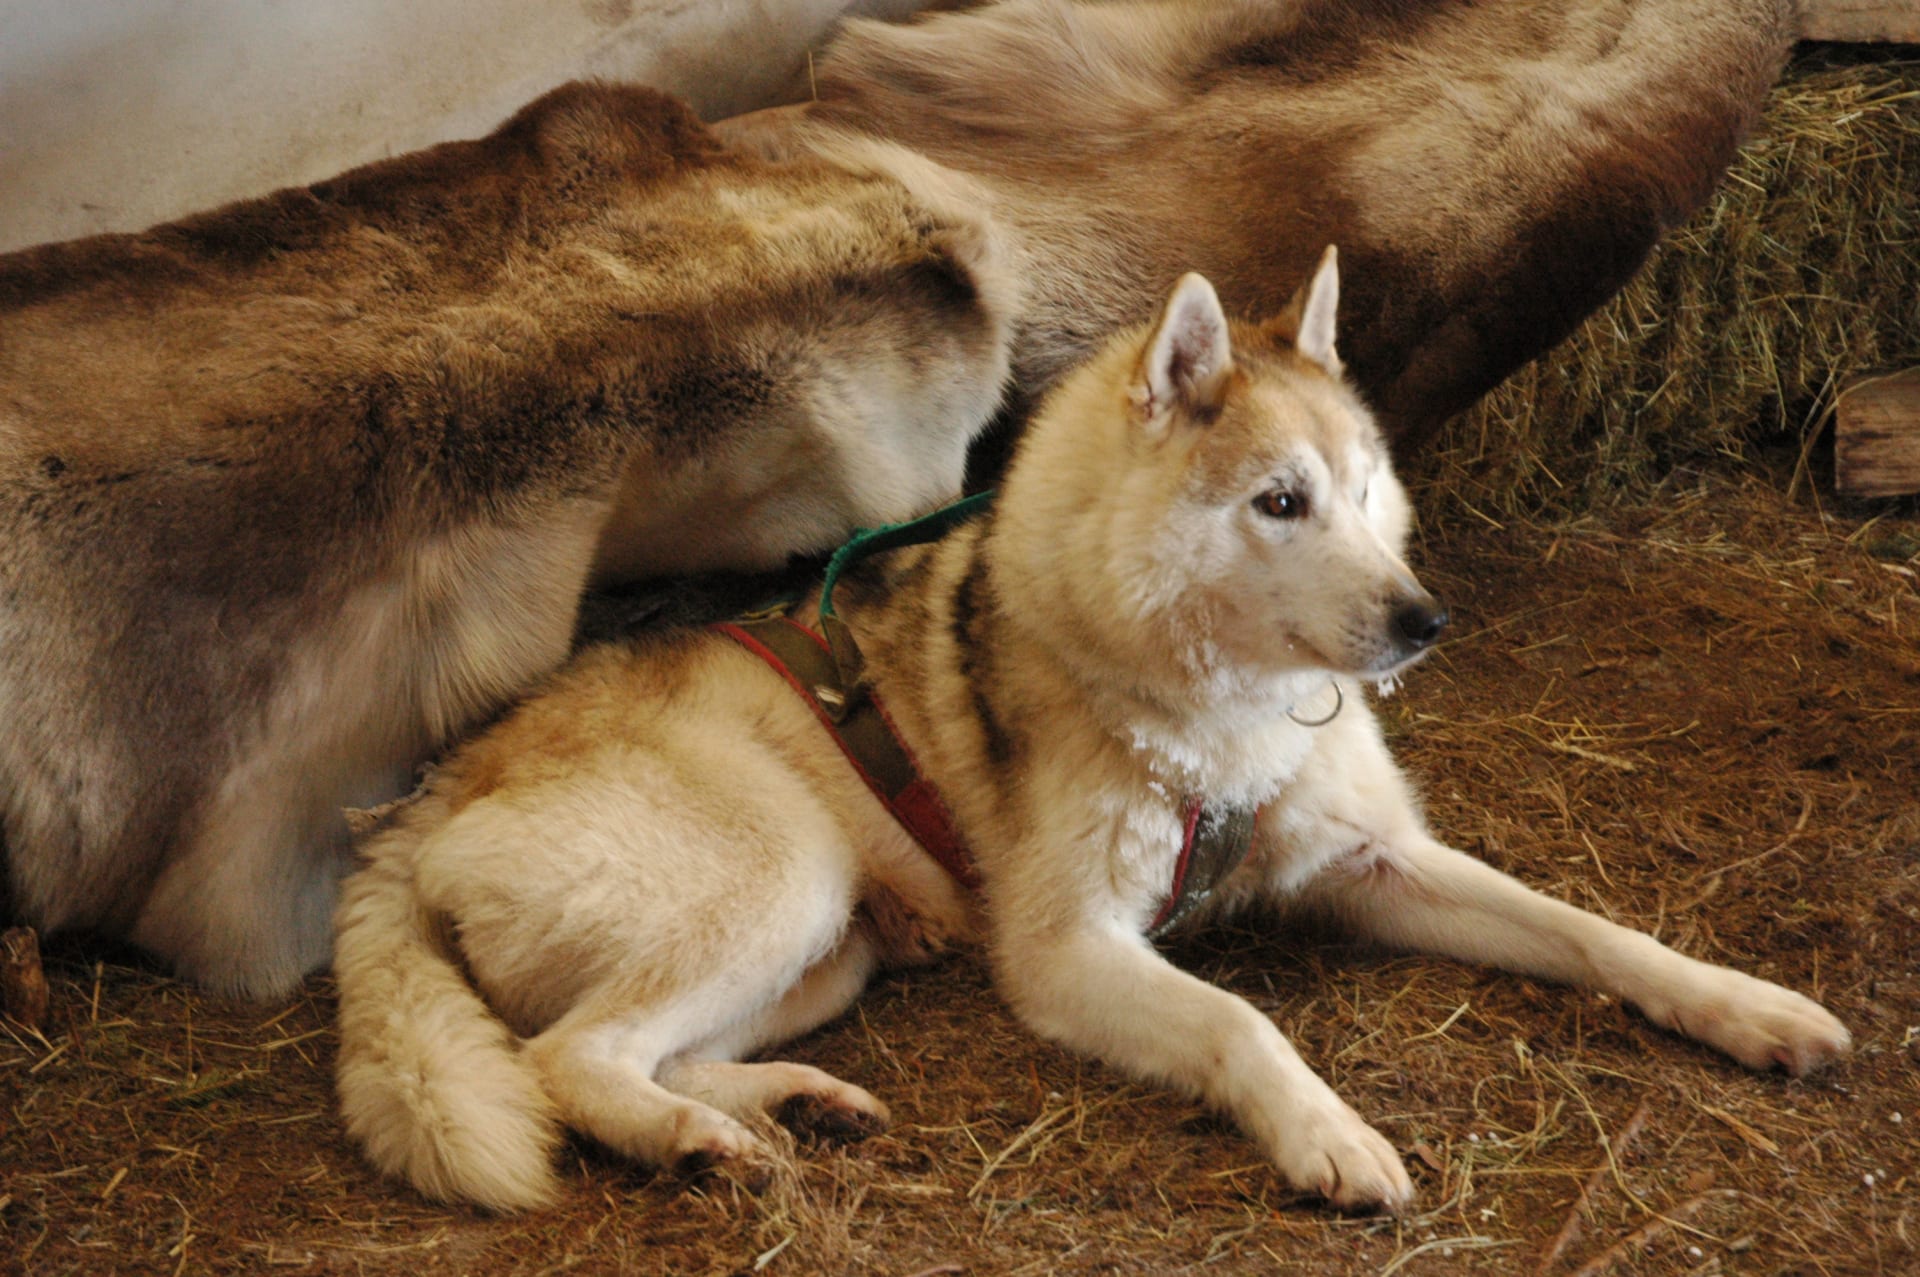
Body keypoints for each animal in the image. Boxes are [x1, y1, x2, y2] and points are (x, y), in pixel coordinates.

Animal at [330, 253, 1843, 1213]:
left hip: (831, 948)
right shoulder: (1071, 953)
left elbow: (1597, 932)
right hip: (784, 882)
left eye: (1363, 488)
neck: (1217, 711)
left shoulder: (1380, 862)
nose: (1425, 620)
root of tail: (417, 804)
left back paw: (785, 1104)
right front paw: (1327, 1131)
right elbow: (1240, 1020)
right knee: (567, 1060)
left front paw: (1748, 1006)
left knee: (636, 1045)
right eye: (1280, 502)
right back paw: (699, 1140)